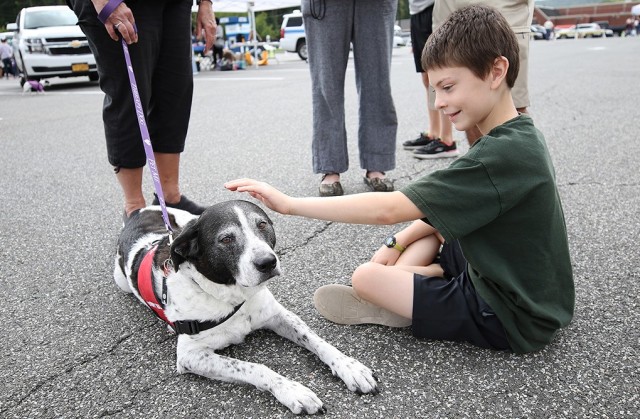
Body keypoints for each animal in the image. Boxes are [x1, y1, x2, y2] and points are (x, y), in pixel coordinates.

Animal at [114, 202, 378, 416]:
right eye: (226, 239)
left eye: (262, 224)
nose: (267, 262)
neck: (231, 296)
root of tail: (138, 212)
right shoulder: (190, 356)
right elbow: (255, 367)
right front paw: (293, 390)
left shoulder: (278, 315)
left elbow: (317, 341)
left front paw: (349, 367)